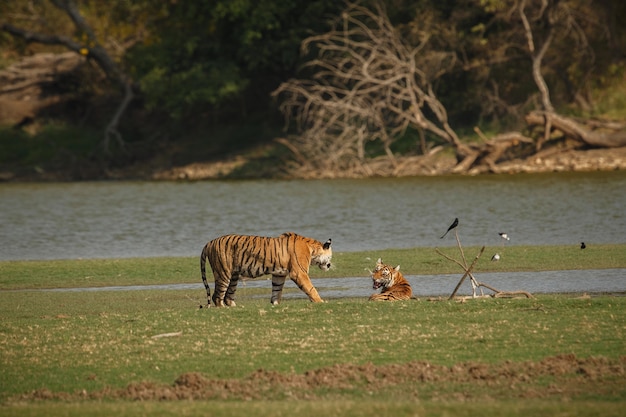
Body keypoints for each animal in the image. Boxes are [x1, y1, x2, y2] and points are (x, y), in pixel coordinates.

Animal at [200, 231, 332, 306]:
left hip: (233, 276)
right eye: (330, 256)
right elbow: (311, 288)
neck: (312, 249)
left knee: (228, 296)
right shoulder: (299, 273)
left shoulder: (279, 274)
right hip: (223, 272)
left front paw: (275, 304)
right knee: (217, 297)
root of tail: (210, 242)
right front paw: (320, 301)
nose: (329, 265)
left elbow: (277, 290)